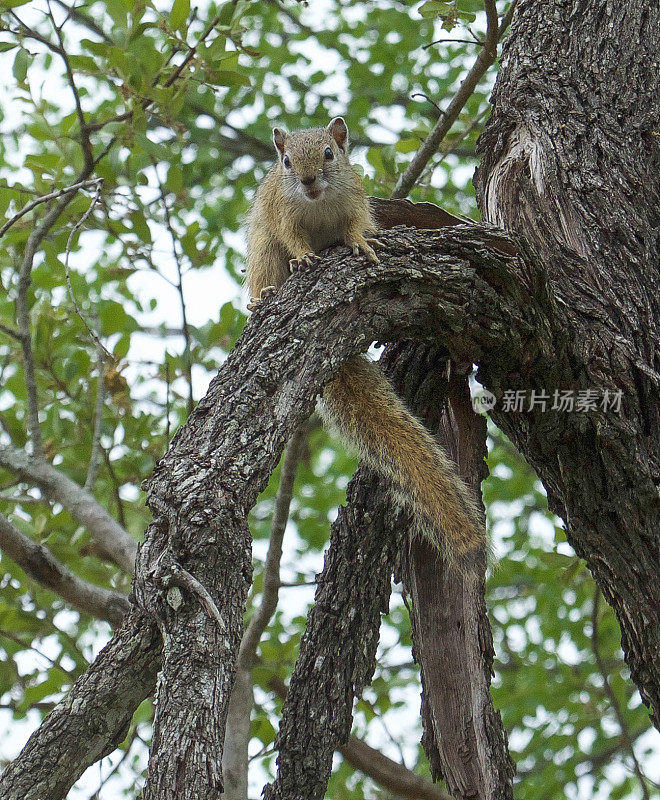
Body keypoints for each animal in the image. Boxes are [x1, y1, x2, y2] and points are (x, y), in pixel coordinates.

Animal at [245, 115, 482, 564]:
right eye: (286, 162)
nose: (307, 180)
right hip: (263, 250)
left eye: (329, 153)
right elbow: (292, 236)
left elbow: (356, 225)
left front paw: (359, 242)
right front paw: (304, 257)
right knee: (267, 264)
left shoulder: (354, 201)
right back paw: (263, 296)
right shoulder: (284, 213)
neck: (317, 204)